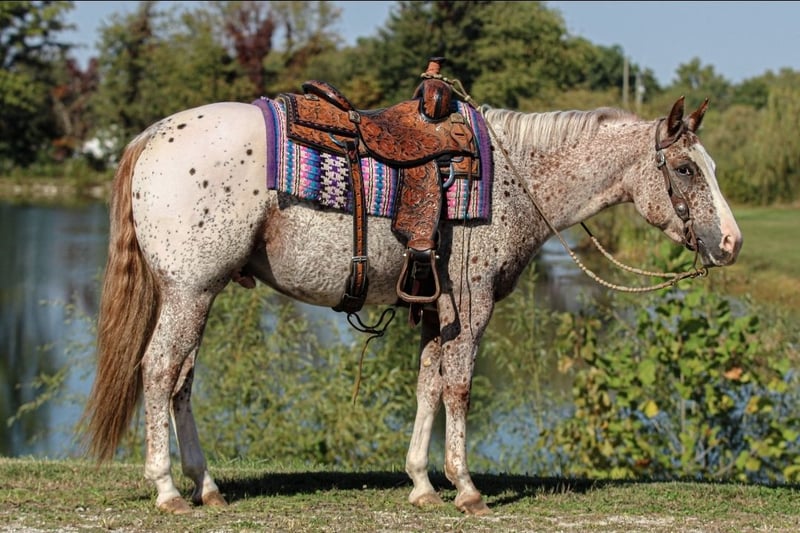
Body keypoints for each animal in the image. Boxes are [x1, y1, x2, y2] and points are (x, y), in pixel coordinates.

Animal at [82, 94, 742, 516]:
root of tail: (151, 136)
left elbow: (427, 384)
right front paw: (466, 487)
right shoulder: (472, 304)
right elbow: (460, 387)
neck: (513, 180)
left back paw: (207, 486)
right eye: (686, 169)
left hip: (196, 294)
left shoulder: (435, 309)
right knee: (160, 372)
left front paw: (423, 483)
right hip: (190, 291)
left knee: (182, 381)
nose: (732, 243)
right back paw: (168, 490)